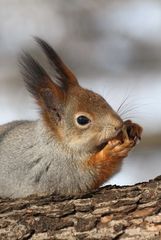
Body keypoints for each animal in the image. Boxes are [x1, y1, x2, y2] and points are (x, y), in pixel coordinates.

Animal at [0, 38, 142, 199]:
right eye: (82, 120)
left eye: (101, 97)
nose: (118, 124)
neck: (56, 141)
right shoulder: (57, 168)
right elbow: (85, 177)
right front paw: (111, 152)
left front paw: (132, 126)